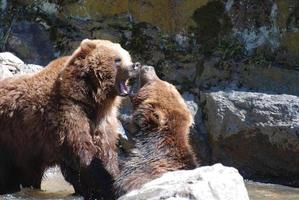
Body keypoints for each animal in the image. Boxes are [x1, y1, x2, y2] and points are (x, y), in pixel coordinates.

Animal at [0, 38, 141, 199]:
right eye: (117, 59)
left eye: (128, 56)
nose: (136, 66)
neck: (92, 99)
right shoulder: (67, 113)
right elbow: (83, 154)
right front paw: (105, 186)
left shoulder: (102, 121)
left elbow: (106, 151)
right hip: (10, 139)